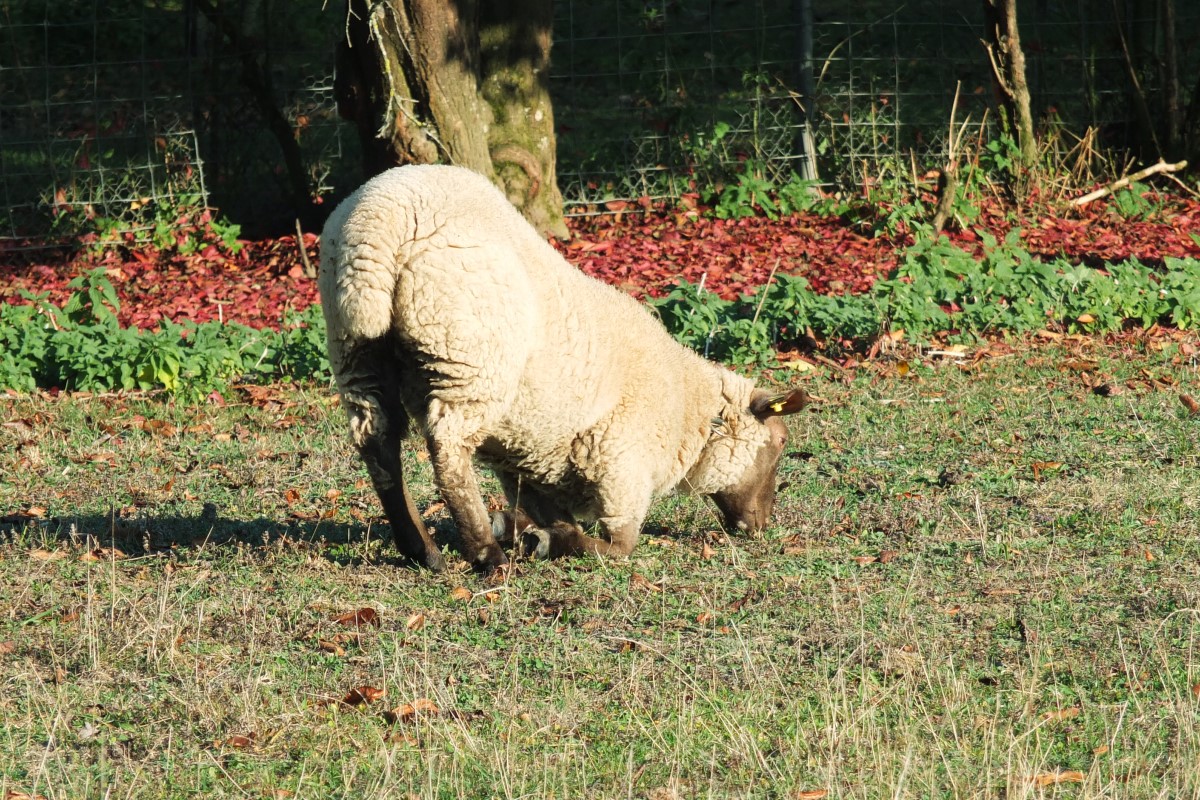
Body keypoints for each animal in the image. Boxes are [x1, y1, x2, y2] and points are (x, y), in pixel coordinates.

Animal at [319, 165, 806, 573]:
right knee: (448, 451)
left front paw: (521, 528)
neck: (690, 415)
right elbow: (618, 547)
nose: (762, 526)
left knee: (379, 445)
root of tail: (378, 221)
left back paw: (424, 550)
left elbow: (545, 510)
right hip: (468, 359)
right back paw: (487, 555)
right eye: (781, 443)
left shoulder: (525, 459)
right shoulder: (623, 469)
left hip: (356, 352)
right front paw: (542, 541)